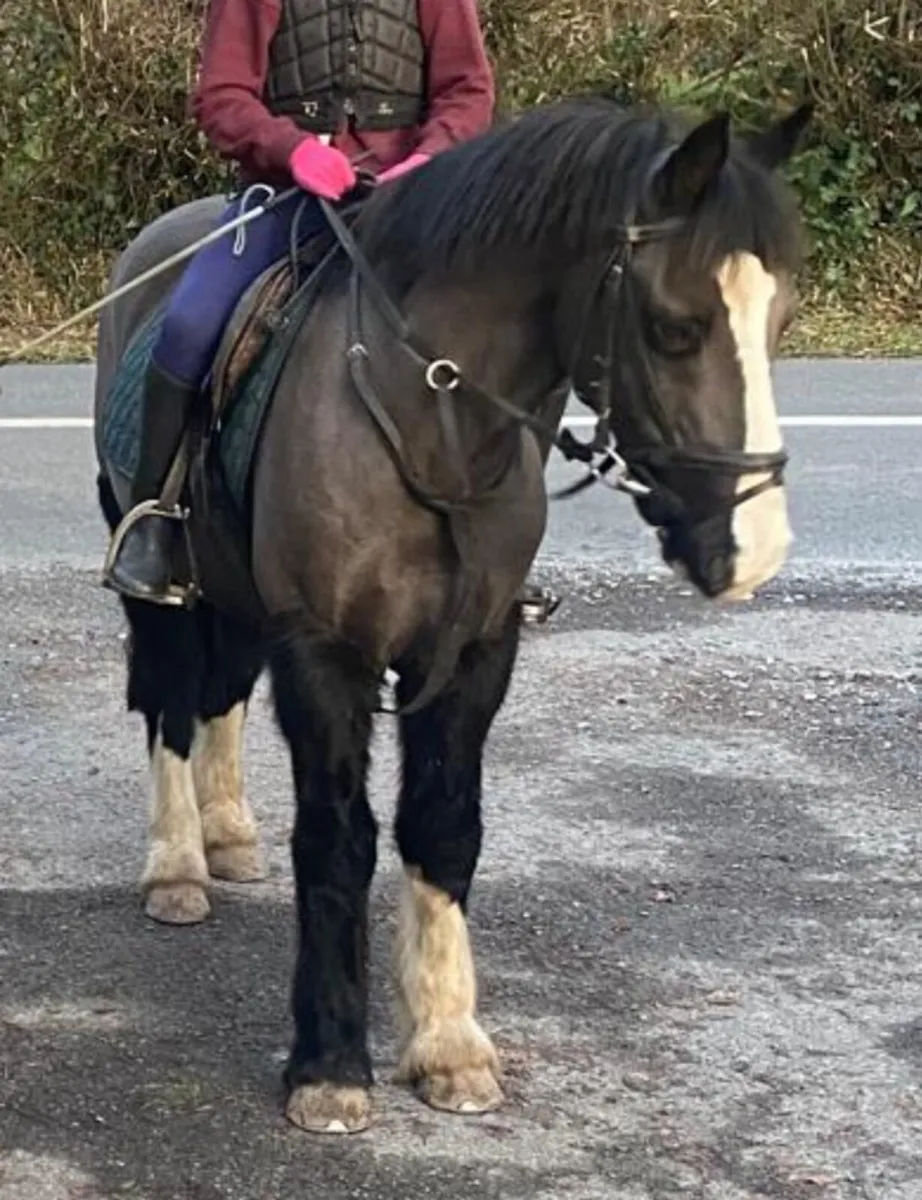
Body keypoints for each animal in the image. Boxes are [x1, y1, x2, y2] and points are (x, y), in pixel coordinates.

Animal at [93, 95, 813, 1134]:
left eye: (780, 318)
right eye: (674, 328)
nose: (753, 549)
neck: (430, 422)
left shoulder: (475, 655)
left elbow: (444, 828)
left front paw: (449, 1045)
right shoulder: (326, 653)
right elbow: (338, 841)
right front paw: (330, 1064)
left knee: (219, 693)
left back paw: (226, 837)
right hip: (162, 588)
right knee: (174, 702)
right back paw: (179, 864)